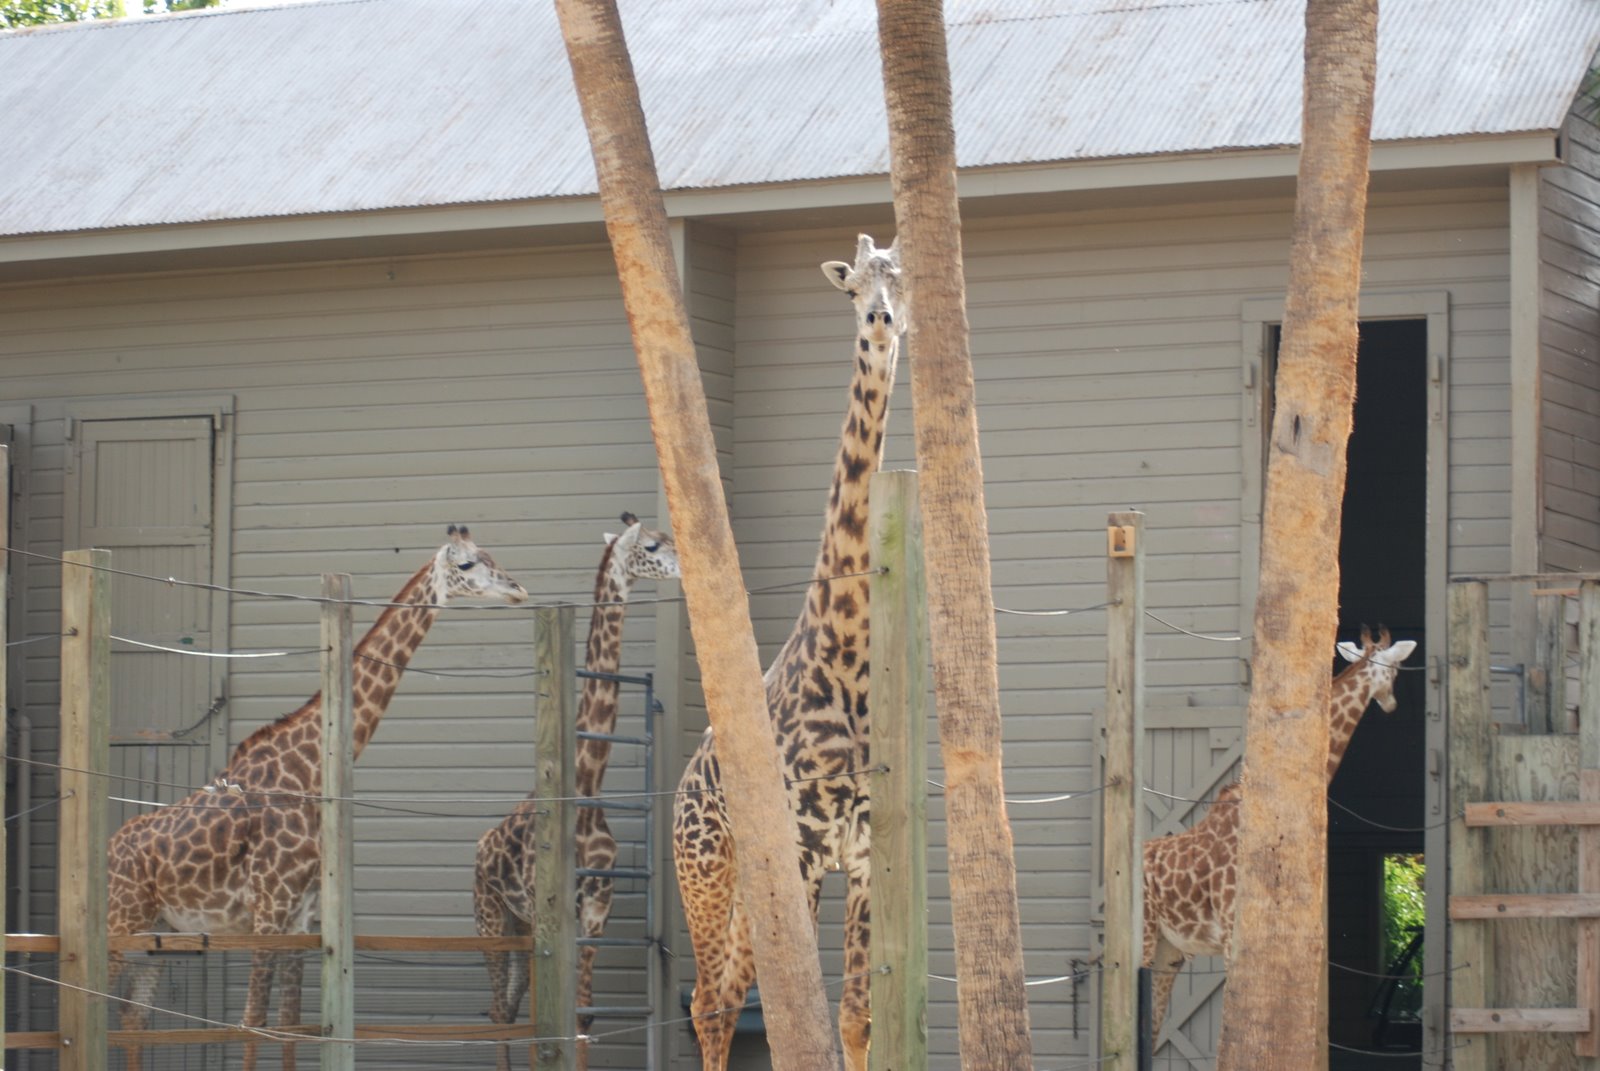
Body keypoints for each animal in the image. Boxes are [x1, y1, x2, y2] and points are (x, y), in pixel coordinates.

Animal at [105, 526, 527, 1071]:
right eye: (470, 564)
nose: (518, 589)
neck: (308, 768)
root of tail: (108, 848)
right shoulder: (268, 908)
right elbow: (252, 1021)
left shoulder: (300, 916)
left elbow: (289, 1024)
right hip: (120, 922)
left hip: (159, 937)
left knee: (132, 1017)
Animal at [473, 512, 680, 1071]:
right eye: (653, 545)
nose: (683, 567)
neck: (587, 787)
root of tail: (478, 850)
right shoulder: (554, 909)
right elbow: (559, 1021)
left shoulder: (595, 910)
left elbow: (583, 1018)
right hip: (491, 916)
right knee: (498, 1010)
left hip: (522, 926)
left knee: (516, 1007)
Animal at [672, 233, 904, 1071]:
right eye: (854, 285)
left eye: (901, 277)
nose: (880, 321)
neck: (846, 656)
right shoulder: (802, 850)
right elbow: (793, 1025)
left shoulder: (864, 853)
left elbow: (854, 1017)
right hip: (707, 870)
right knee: (709, 1003)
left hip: (748, 890)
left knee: (724, 993)